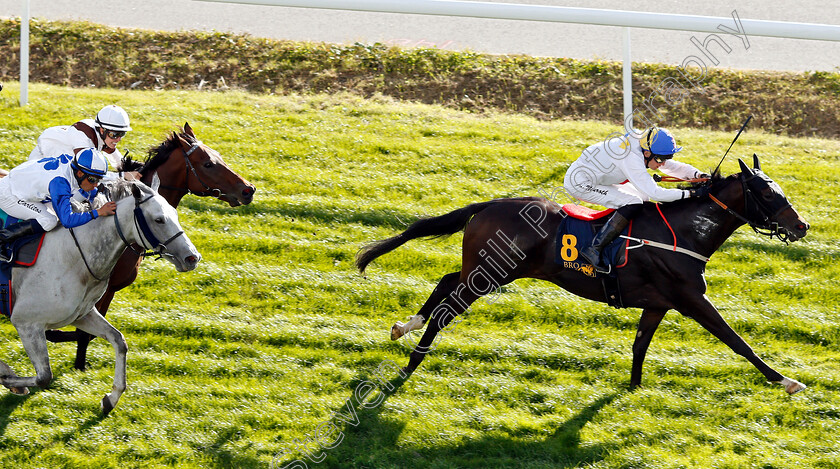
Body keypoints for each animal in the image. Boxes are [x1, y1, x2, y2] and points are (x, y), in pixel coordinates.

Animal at [45, 121, 254, 370]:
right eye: (208, 164)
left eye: (219, 157)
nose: (248, 190)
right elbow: (81, 332)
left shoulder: (108, 290)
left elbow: (87, 333)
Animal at [358, 156, 812, 394]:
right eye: (767, 192)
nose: (802, 226)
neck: (683, 233)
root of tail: (490, 204)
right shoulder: (691, 300)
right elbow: (737, 341)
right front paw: (786, 380)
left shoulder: (658, 304)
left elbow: (640, 346)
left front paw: (632, 389)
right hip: (490, 275)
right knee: (446, 310)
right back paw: (410, 364)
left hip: (486, 269)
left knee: (447, 280)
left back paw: (404, 326)